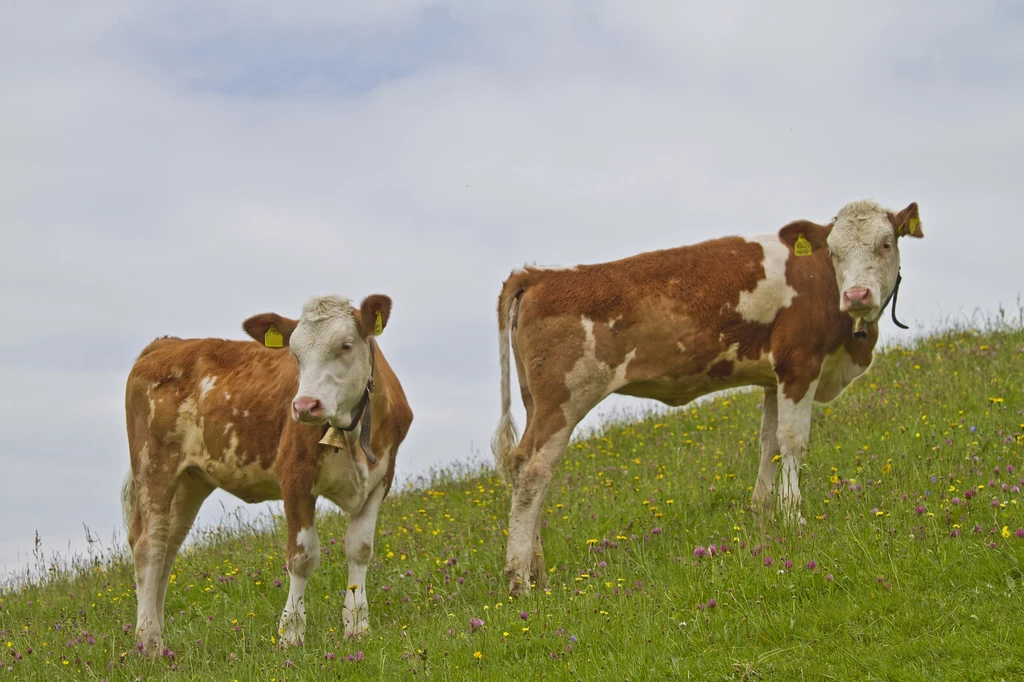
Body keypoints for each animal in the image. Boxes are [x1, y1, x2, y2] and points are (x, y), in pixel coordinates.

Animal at [125, 292, 413, 647]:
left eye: (346, 345)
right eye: (294, 353)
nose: (304, 406)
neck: (350, 430)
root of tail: (167, 344)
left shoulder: (380, 480)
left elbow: (360, 549)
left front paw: (357, 626)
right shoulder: (294, 477)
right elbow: (303, 557)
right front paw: (291, 633)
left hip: (190, 481)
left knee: (168, 544)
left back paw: (159, 634)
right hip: (152, 464)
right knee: (148, 545)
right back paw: (149, 640)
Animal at [491, 199, 925, 593]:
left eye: (886, 243)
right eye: (833, 252)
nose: (857, 295)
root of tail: (537, 275)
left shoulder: (773, 379)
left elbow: (769, 443)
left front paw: (763, 518)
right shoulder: (799, 365)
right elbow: (793, 442)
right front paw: (794, 518)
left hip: (536, 402)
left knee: (532, 474)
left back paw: (539, 574)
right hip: (562, 401)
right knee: (533, 471)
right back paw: (519, 580)